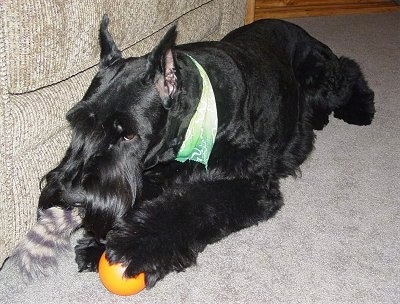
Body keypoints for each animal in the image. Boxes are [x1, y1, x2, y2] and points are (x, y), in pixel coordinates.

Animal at [35, 16, 376, 288]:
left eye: (128, 134)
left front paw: (135, 246)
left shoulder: (250, 183)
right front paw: (98, 242)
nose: (70, 196)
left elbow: (193, 205)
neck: (200, 110)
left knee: (350, 70)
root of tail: (302, 30)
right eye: (77, 123)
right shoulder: (157, 170)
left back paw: (360, 109)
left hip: (323, 77)